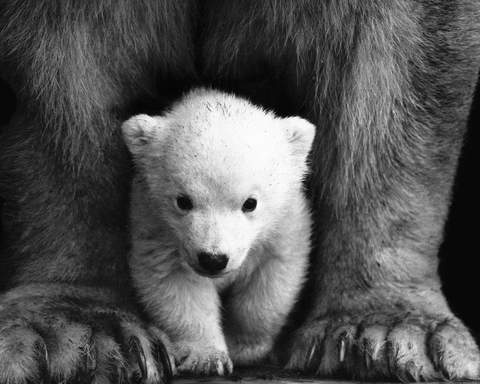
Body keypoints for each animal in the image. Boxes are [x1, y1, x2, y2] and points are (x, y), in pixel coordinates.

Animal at [122, 88, 314, 376]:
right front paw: (207, 357)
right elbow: (176, 285)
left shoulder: (284, 226)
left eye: (250, 203)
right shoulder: (156, 227)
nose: (213, 259)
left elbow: (270, 283)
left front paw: (244, 346)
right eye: (183, 201)